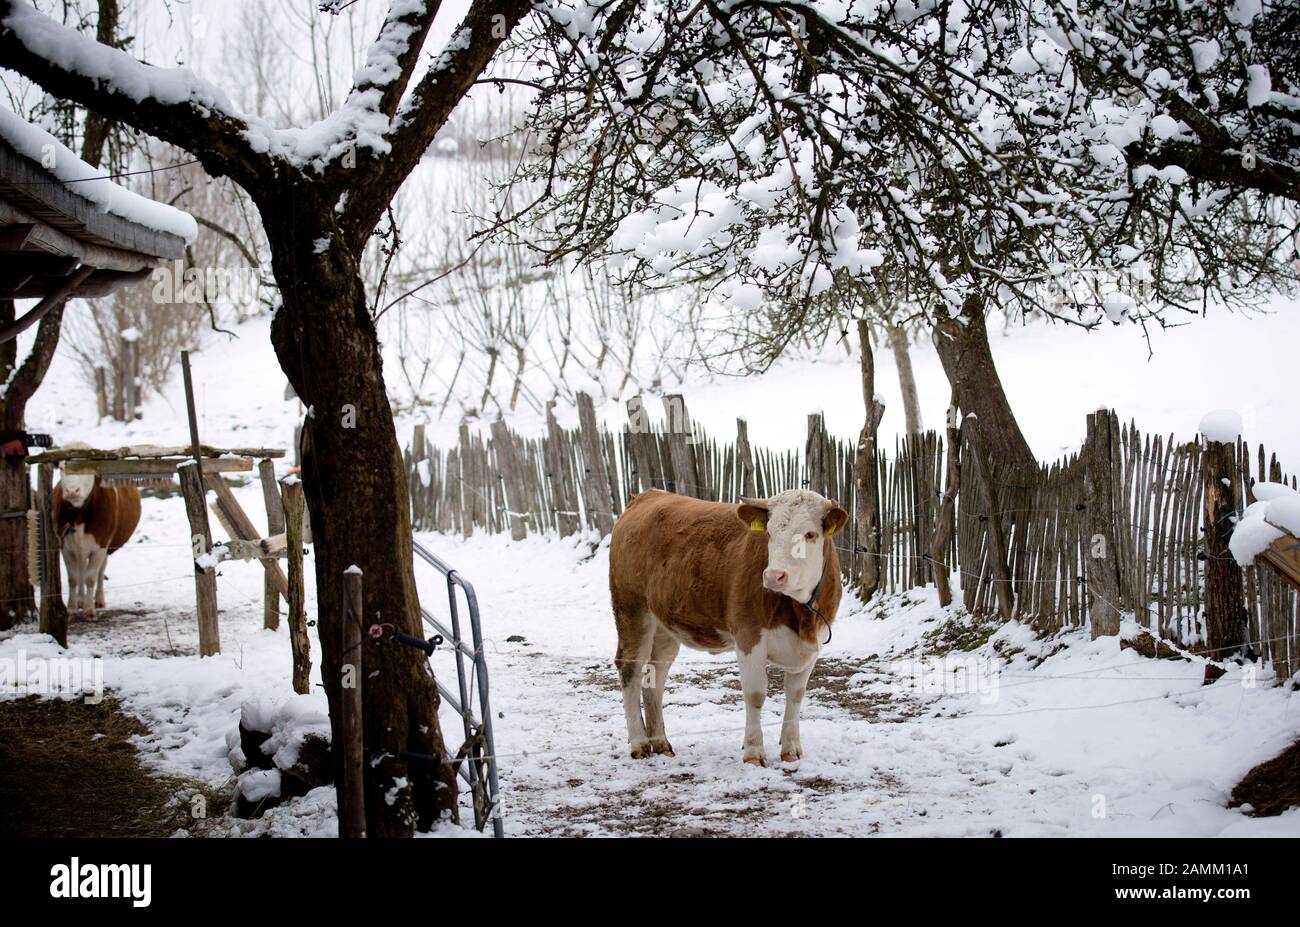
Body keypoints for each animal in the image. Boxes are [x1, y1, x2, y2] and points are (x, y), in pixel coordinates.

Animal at [53, 473, 141, 618]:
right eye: (62, 469)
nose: (72, 490)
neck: (80, 517)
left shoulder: (100, 546)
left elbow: (90, 578)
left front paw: (89, 610)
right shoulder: (65, 547)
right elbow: (73, 578)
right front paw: (71, 608)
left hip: (105, 548)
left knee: (101, 569)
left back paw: (99, 599)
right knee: (82, 568)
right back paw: (81, 600)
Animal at [611, 488, 847, 764]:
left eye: (810, 534)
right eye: (769, 532)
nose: (773, 576)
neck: (800, 614)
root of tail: (648, 495)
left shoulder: (813, 645)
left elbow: (796, 694)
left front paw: (791, 749)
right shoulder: (748, 636)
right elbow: (755, 694)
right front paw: (754, 752)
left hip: (665, 626)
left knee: (656, 676)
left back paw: (660, 742)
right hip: (632, 611)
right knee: (631, 669)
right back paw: (639, 743)